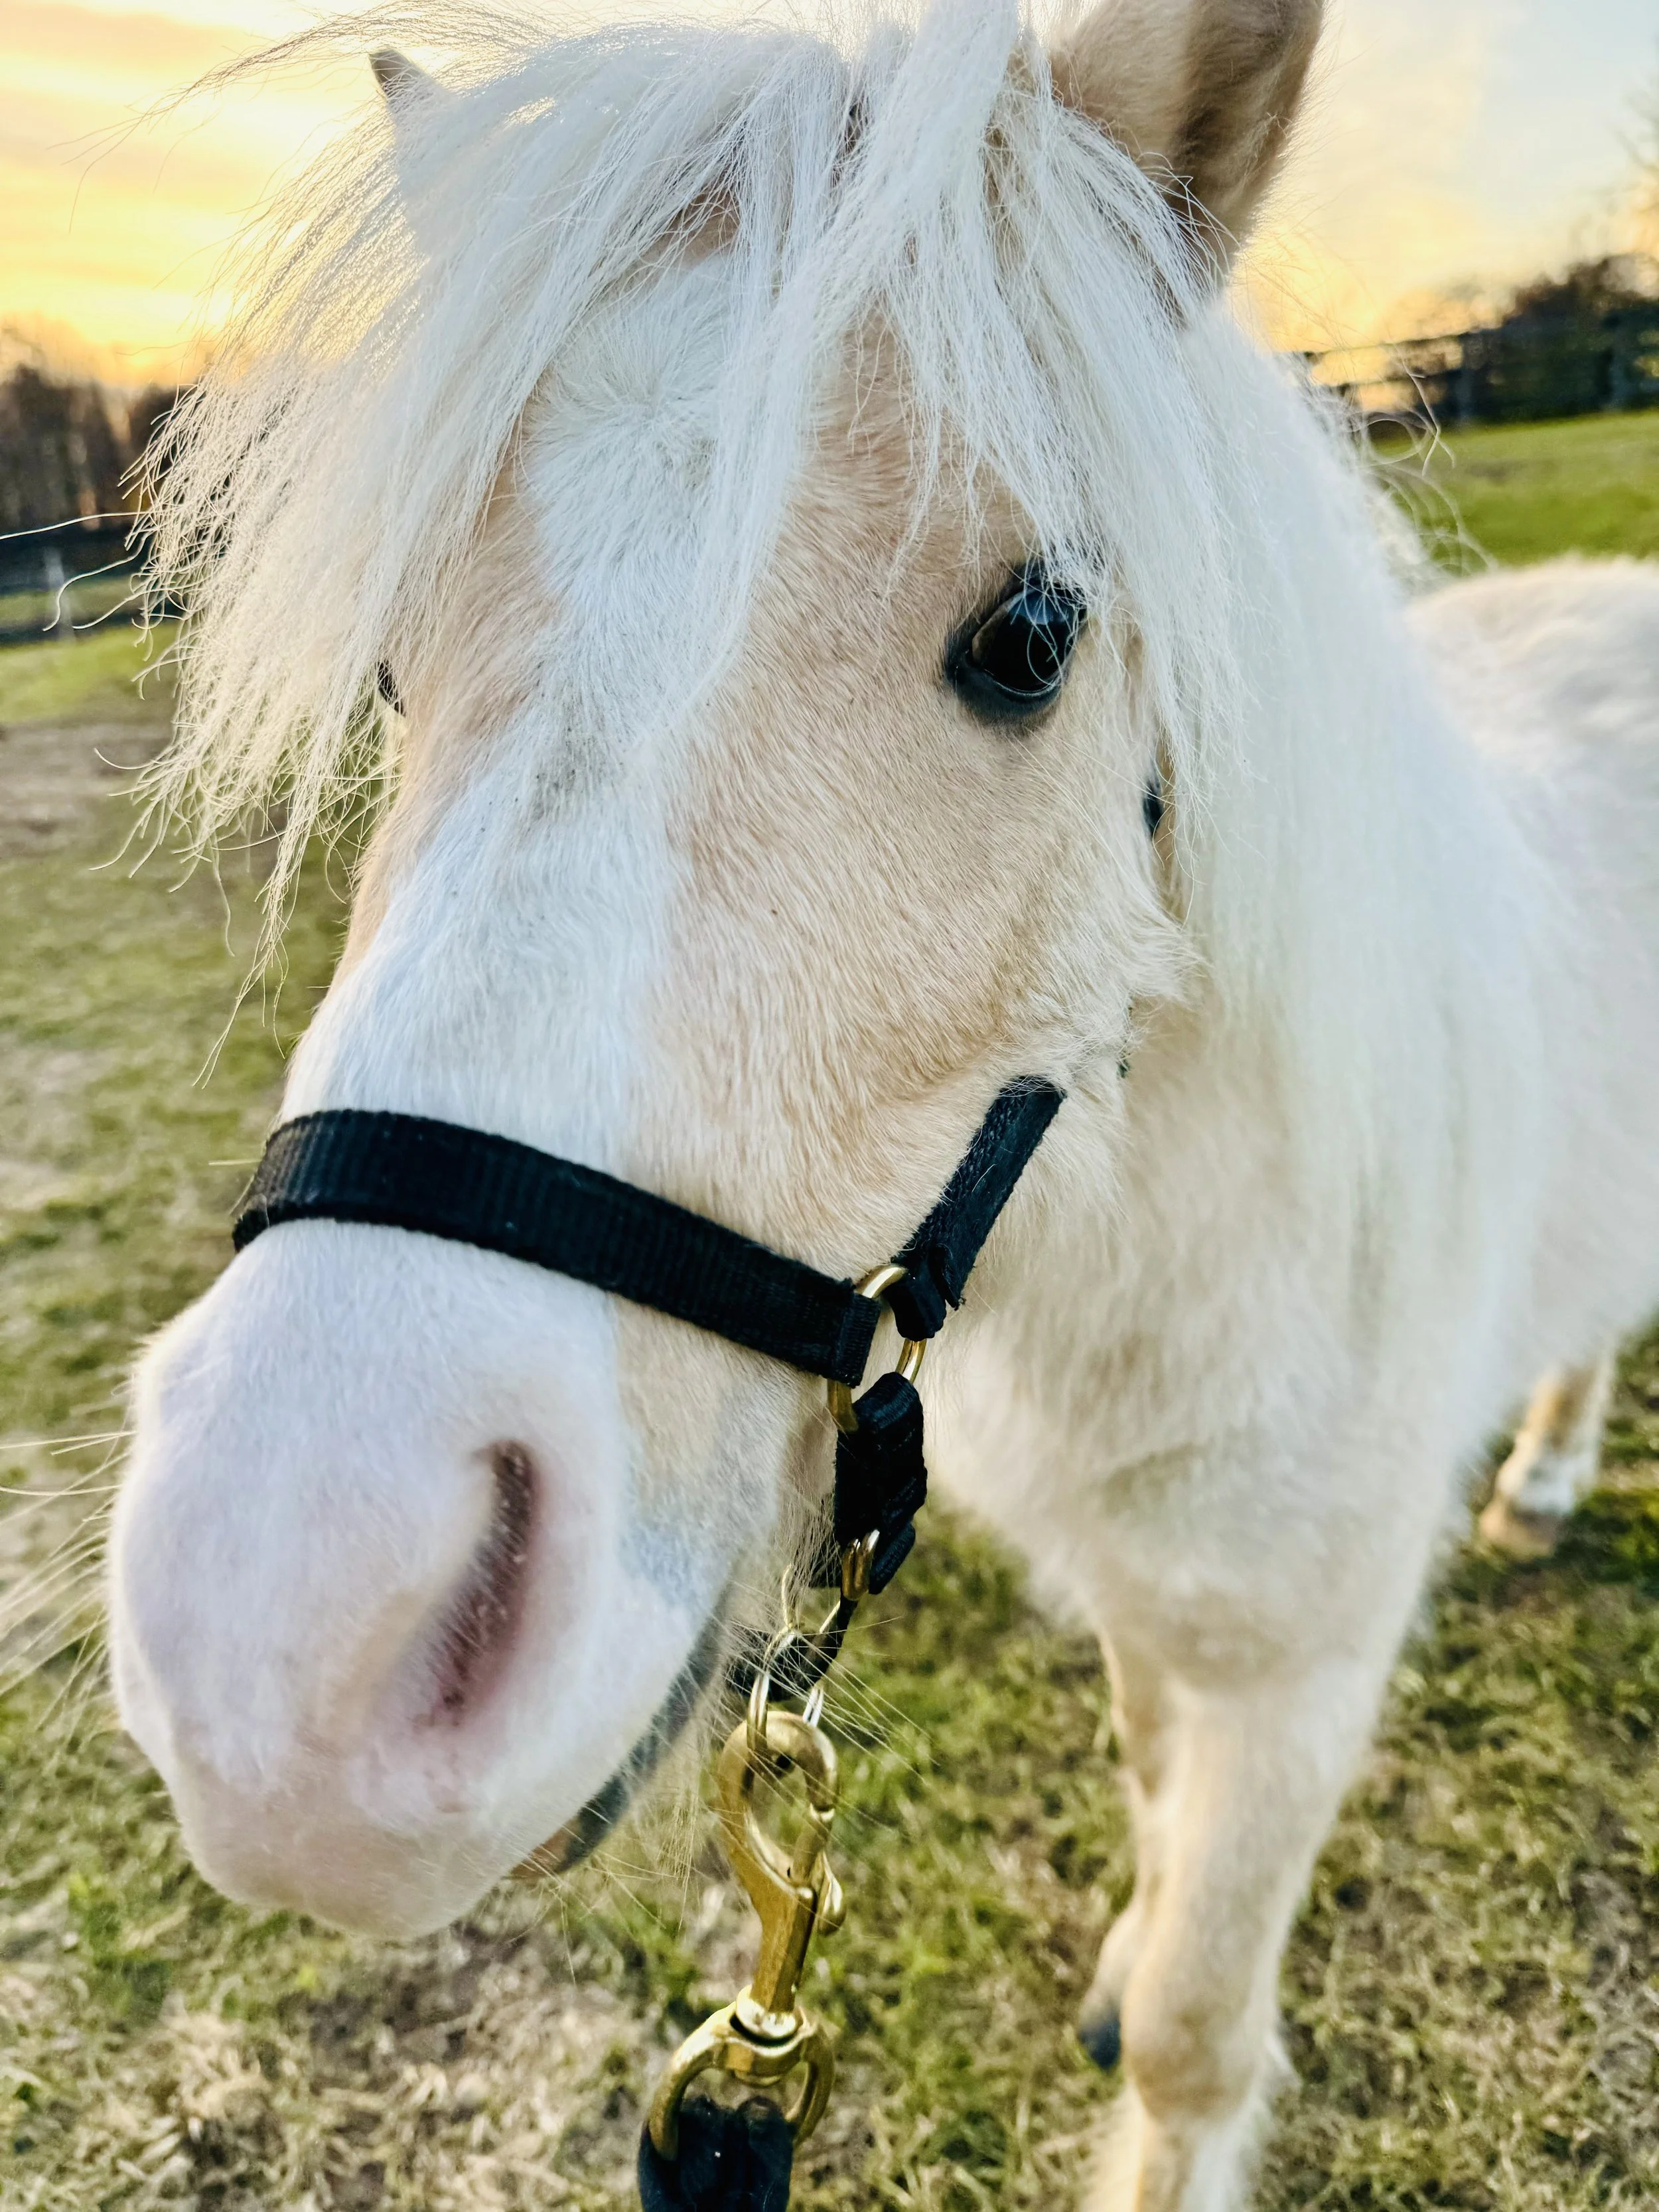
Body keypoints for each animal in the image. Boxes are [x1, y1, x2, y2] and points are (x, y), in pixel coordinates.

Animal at [106, 2, 1659, 2205]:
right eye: (394, 675)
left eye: (1029, 639)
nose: (287, 1656)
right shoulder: (1147, 1607)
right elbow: (1147, 1792)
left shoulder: (1303, 1663)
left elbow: (1192, 2038)